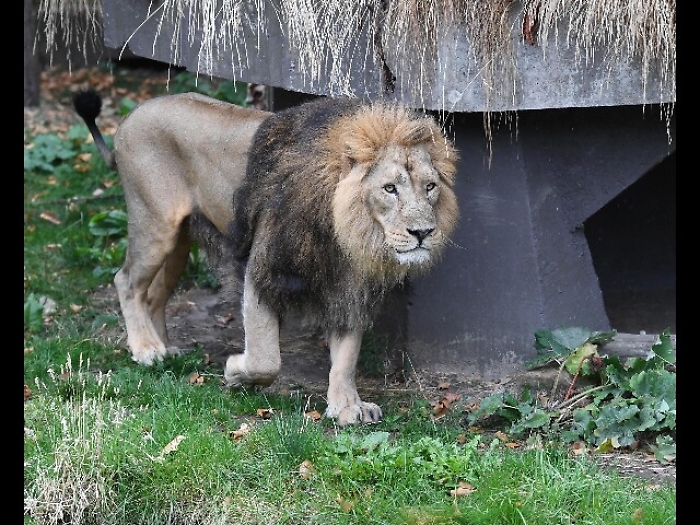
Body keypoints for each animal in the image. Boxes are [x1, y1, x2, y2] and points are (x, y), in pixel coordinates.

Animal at [73, 90, 459, 426]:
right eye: (389, 188)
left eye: (430, 187)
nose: (423, 232)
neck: (347, 230)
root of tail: (130, 117)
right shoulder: (263, 269)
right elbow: (266, 359)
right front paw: (235, 371)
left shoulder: (347, 286)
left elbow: (346, 356)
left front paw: (347, 405)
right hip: (155, 224)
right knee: (126, 281)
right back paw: (146, 349)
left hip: (178, 243)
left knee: (153, 294)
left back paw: (165, 348)